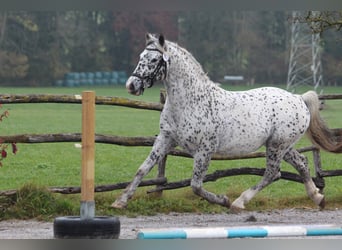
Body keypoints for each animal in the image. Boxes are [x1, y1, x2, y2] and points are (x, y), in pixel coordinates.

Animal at [112, 32, 342, 213]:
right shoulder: (165, 139)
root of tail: (298, 98)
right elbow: (143, 169)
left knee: (272, 173)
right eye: (141, 57)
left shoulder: (205, 149)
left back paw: (239, 202)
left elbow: (196, 185)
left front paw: (223, 200)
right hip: (281, 145)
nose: (131, 85)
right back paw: (318, 198)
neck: (190, 101)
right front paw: (120, 201)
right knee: (301, 163)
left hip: (277, 146)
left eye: (153, 60)